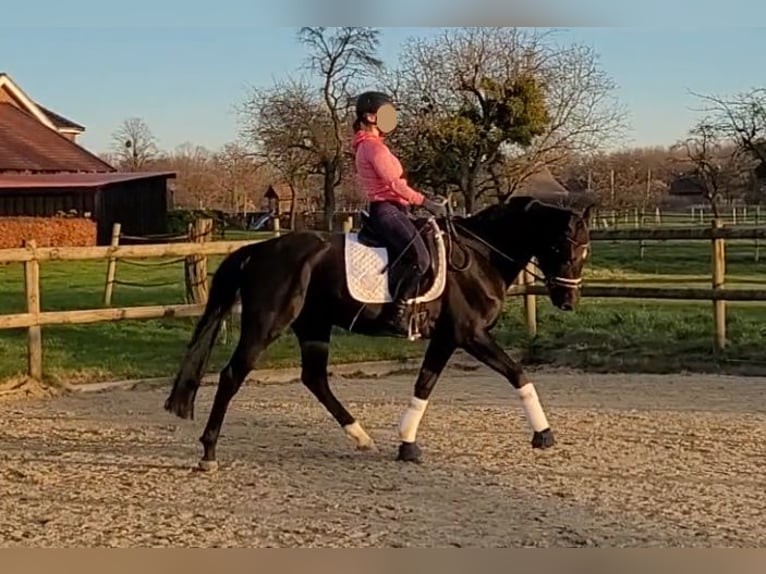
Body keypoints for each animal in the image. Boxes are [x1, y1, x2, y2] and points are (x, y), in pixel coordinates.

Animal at [162, 196, 592, 470]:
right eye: (564, 248)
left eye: (585, 251)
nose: (568, 301)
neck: (479, 255)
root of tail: (259, 251)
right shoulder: (470, 334)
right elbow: (517, 373)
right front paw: (544, 435)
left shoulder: (446, 337)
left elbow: (424, 384)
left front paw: (407, 445)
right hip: (267, 325)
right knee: (232, 376)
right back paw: (208, 452)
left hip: (314, 326)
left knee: (315, 379)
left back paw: (361, 437)